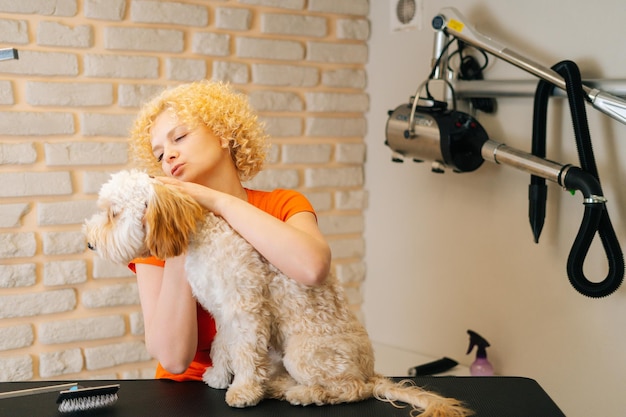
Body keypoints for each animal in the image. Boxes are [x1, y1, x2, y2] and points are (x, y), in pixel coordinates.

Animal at [83, 170, 468, 416]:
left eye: (113, 213)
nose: (88, 242)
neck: (203, 234)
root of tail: (370, 370)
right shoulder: (224, 313)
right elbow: (223, 348)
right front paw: (219, 377)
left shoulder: (246, 310)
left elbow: (245, 354)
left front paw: (243, 391)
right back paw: (280, 386)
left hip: (304, 354)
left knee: (350, 390)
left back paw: (299, 393)